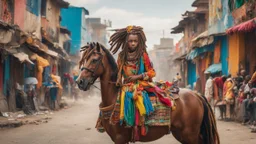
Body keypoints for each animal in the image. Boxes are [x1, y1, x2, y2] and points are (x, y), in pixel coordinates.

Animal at [76, 42, 220, 144]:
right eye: (84, 59)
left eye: (94, 60)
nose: (79, 81)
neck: (113, 98)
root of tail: (197, 95)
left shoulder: (120, 138)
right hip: (182, 134)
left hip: (190, 134)